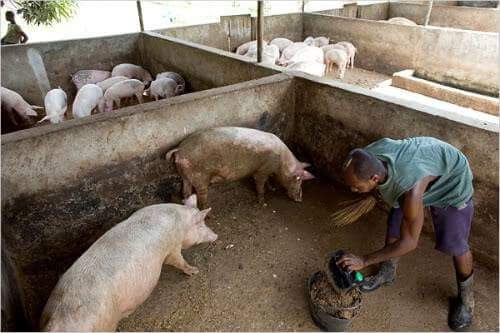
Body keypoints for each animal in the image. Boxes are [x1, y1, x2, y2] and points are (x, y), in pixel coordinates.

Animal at [39, 193, 217, 330]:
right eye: (201, 225)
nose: (216, 236)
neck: (181, 222)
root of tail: (57, 321)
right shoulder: (172, 247)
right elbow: (178, 261)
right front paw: (194, 271)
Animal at [165, 126, 312, 208]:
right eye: (298, 180)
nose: (300, 199)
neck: (281, 164)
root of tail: (180, 149)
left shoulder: (268, 170)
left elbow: (269, 180)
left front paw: (273, 188)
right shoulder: (261, 170)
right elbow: (259, 184)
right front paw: (262, 203)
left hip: (185, 175)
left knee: (185, 192)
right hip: (199, 177)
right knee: (201, 198)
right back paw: (208, 213)